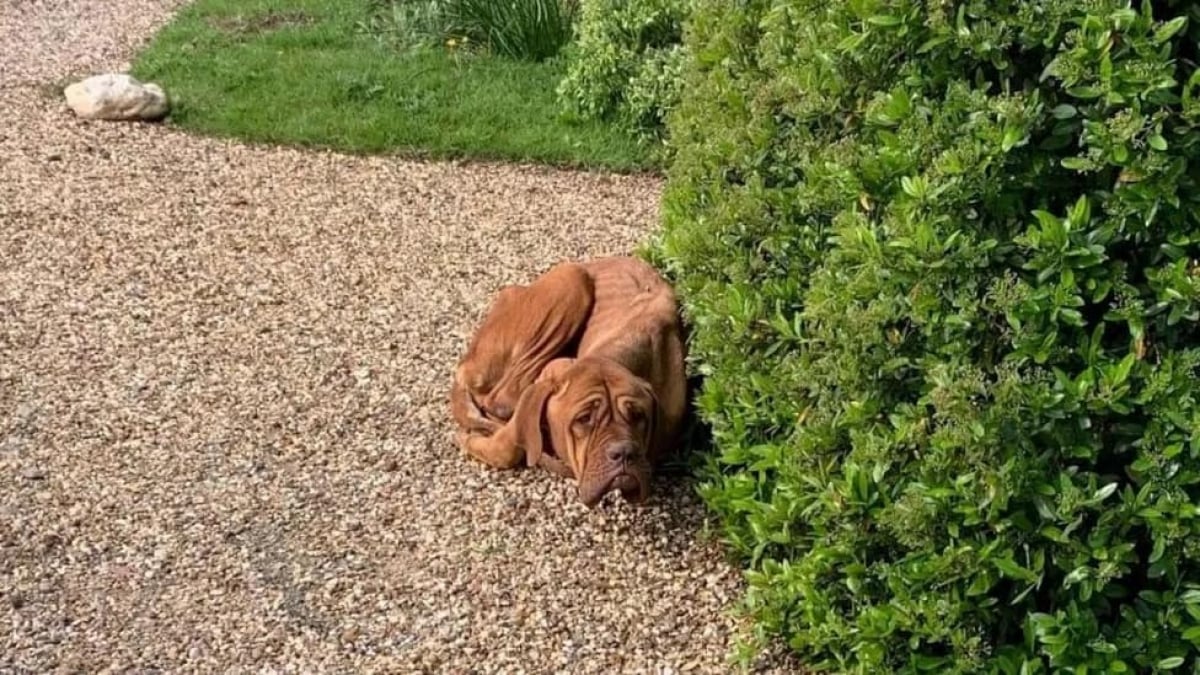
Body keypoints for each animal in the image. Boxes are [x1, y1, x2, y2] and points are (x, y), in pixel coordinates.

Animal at [451, 255, 691, 504]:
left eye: (639, 416)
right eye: (584, 419)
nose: (624, 452)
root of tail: (465, 364)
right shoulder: (551, 374)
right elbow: (505, 446)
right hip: (572, 278)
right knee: (502, 400)